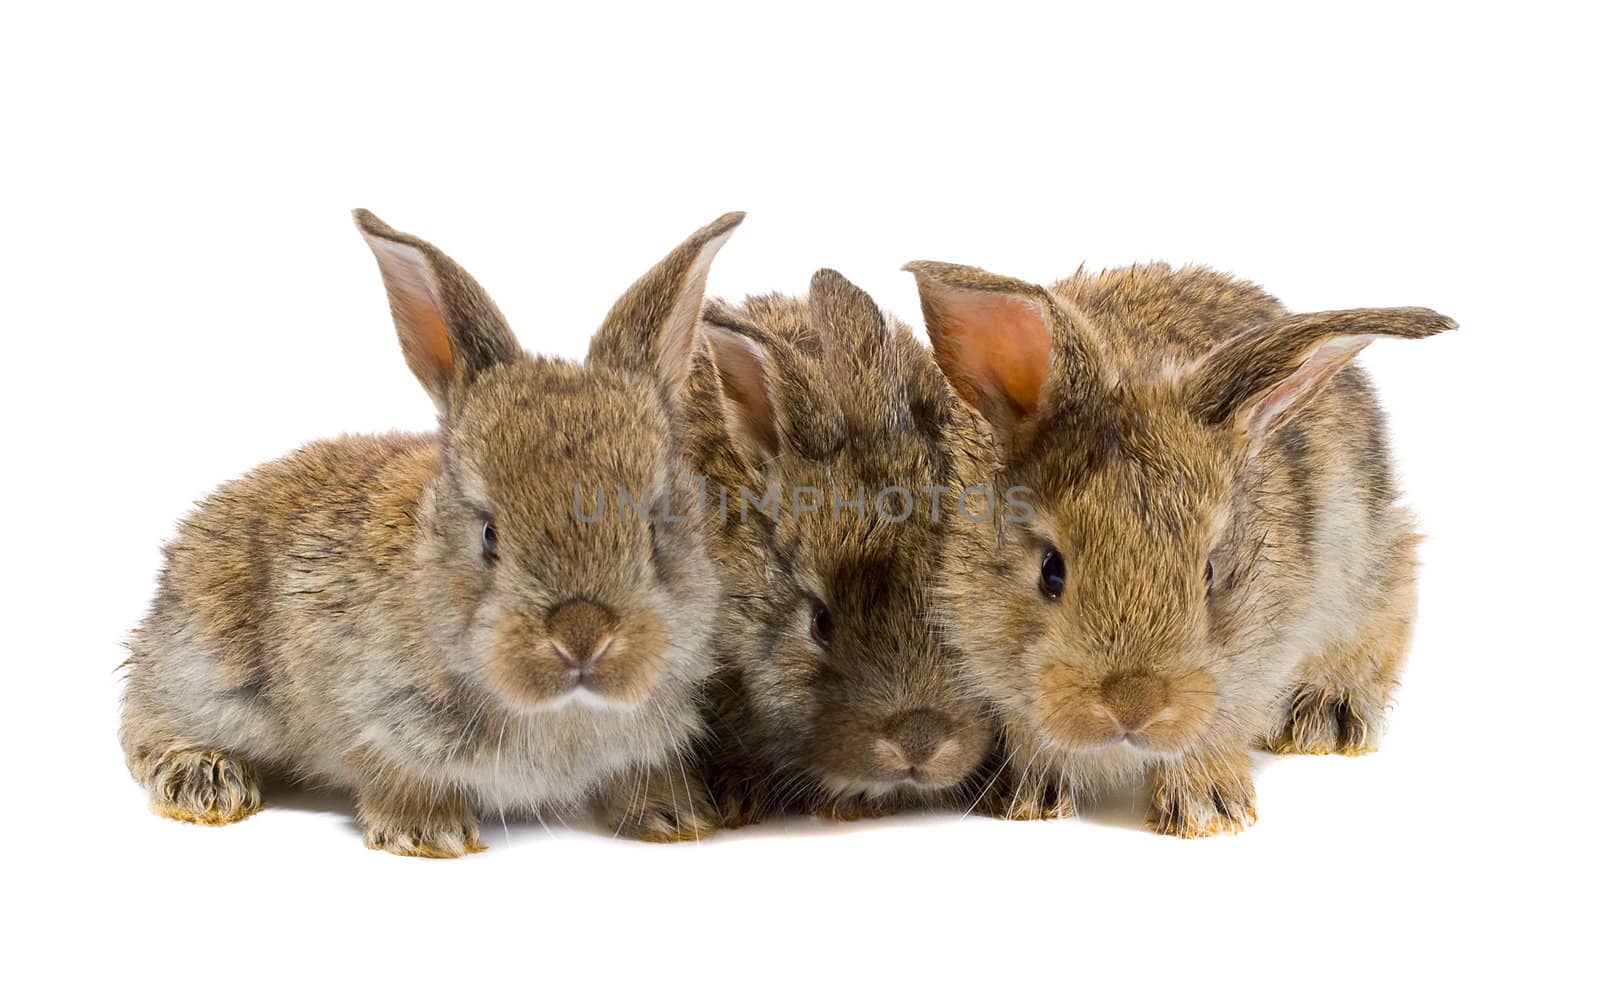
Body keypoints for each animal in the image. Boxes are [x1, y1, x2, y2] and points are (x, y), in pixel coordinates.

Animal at [120, 211, 742, 857]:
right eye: (489, 534)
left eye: (654, 527)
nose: (581, 638)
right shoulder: (372, 716)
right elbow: (395, 772)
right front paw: (429, 833)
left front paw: (674, 818)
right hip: (203, 663)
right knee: (144, 717)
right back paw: (205, 781)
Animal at [908, 259, 1459, 831]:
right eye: (1050, 571)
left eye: (1211, 573)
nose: (1133, 706)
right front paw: (1031, 798)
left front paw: (1207, 807)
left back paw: (1327, 715)